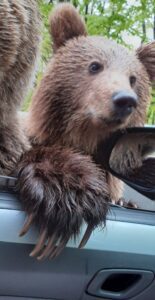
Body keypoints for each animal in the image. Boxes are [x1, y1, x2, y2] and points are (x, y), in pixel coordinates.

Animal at [17, 2, 155, 260]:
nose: (124, 100)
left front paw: (126, 202)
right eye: (94, 66)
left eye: (133, 79)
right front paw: (67, 190)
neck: (85, 136)